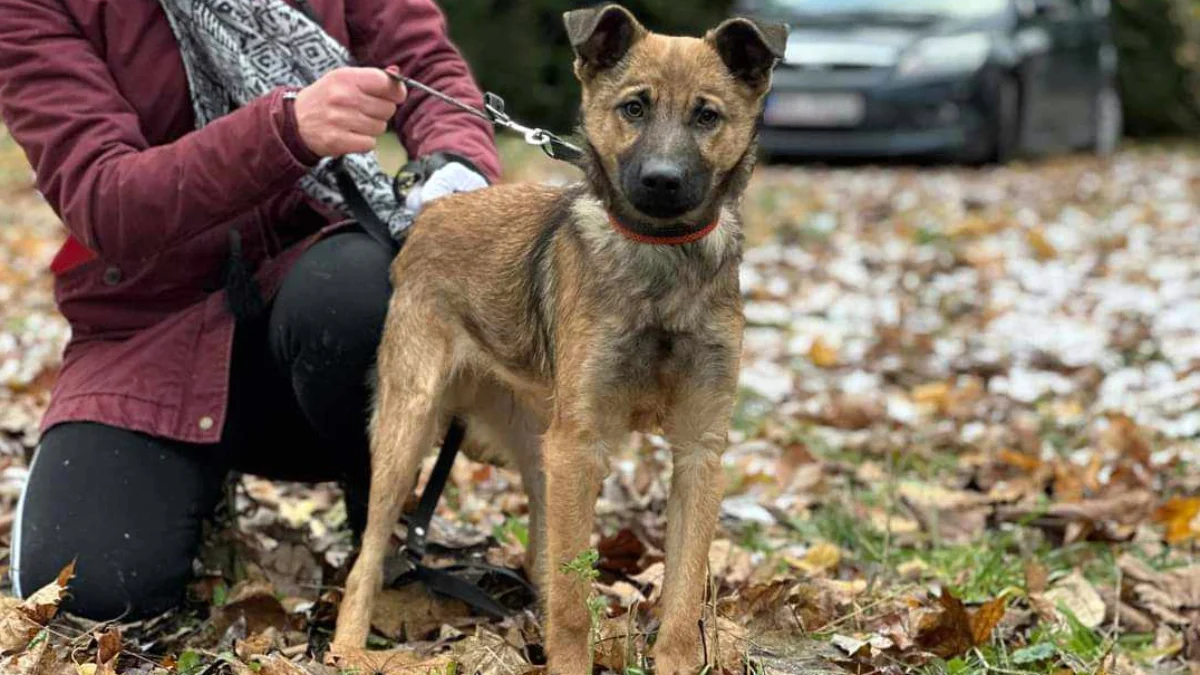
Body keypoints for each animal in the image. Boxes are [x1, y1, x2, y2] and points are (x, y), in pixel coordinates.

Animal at [336, 6, 787, 672]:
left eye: (707, 116)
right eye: (634, 108)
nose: (662, 181)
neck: (661, 257)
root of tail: (429, 215)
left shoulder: (698, 452)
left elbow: (682, 595)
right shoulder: (580, 445)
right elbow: (575, 604)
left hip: (540, 452)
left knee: (542, 558)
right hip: (409, 429)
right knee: (368, 552)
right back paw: (347, 646)